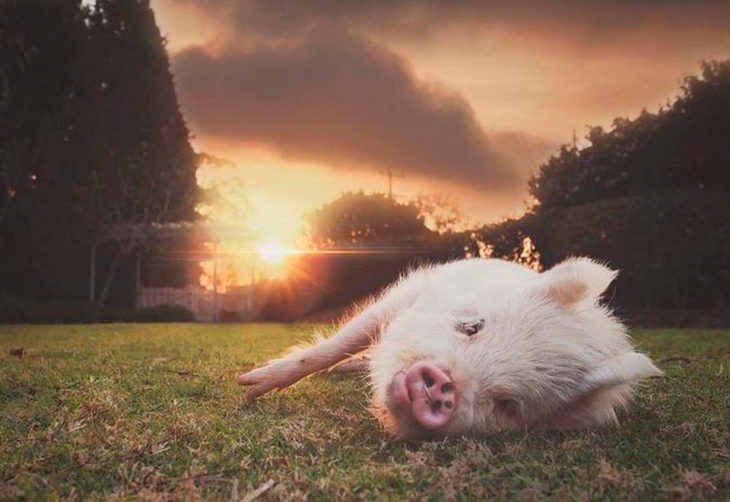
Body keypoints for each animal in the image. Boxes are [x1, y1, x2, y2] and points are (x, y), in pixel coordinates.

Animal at [236, 258, 664, 440]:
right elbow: (345, 340)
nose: (442, 383)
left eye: (508, 404)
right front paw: (249, 386)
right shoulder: (411, 290)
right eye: (472, 326)